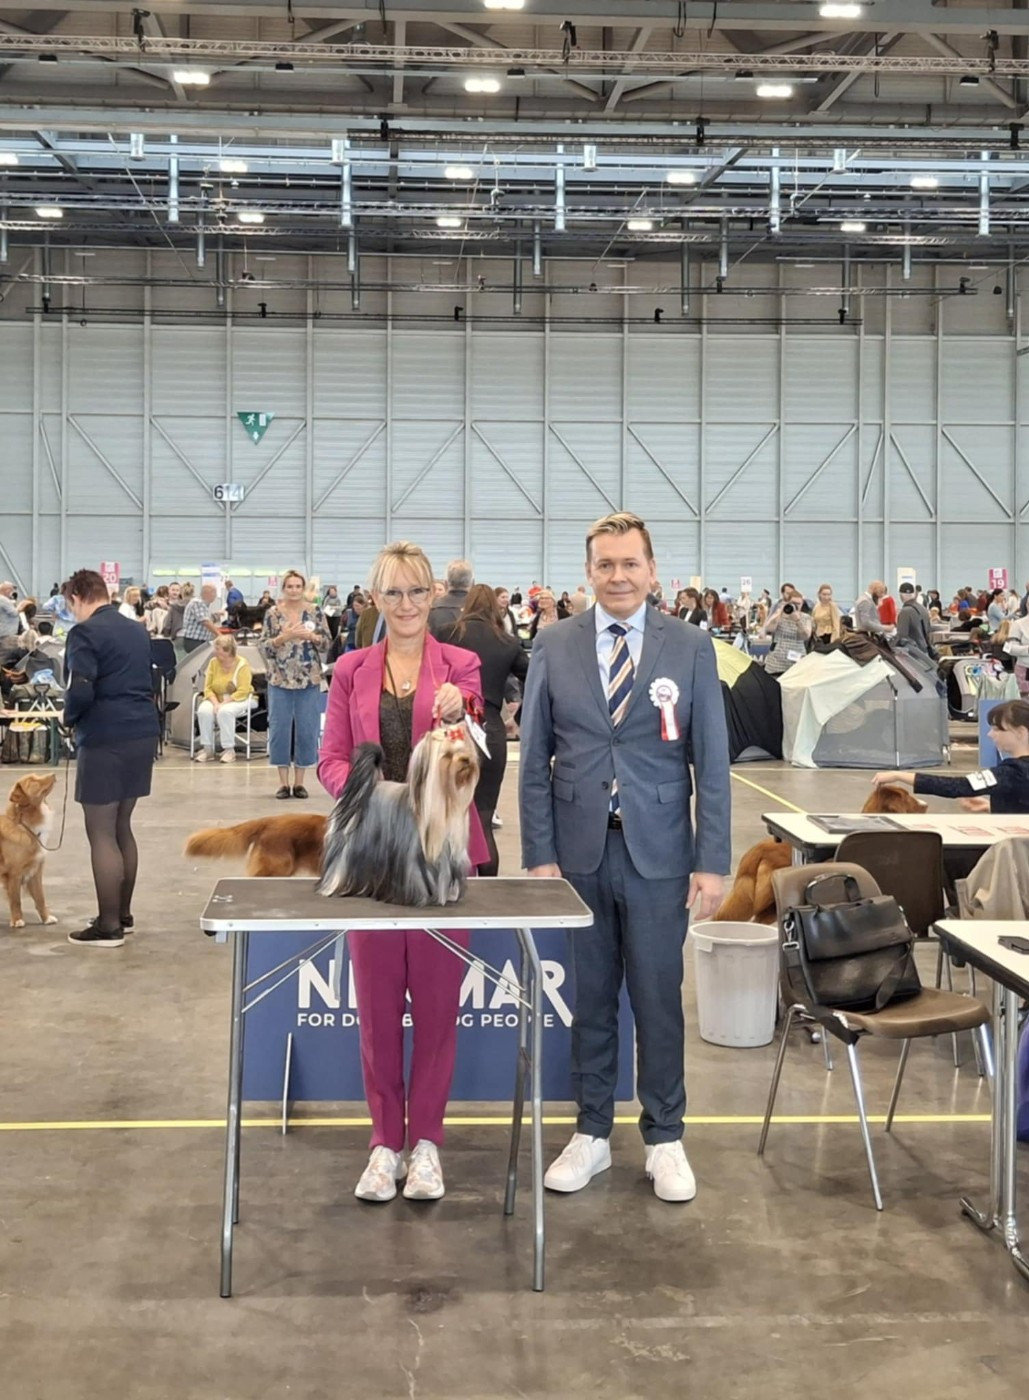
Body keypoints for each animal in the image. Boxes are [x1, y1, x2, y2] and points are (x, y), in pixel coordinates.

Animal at [0, 773, 59, 929]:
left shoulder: (35, 870)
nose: (53, 774)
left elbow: (40, 897)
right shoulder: (14, 873)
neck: (25, 827)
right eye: (33, 781)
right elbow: (16, 900)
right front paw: (17, 920)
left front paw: (46, 918)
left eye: (37, 775)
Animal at [317, 727, 479, 907]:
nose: (466, 760)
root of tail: (364, 789)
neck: (446, 802)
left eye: (465, 751)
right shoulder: (413, 860)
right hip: (348, 845)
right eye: (448, 755)